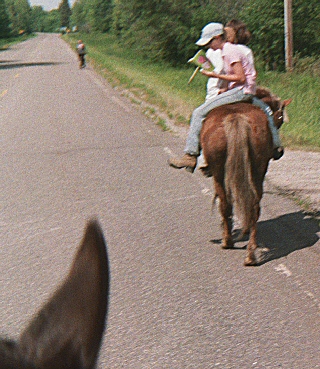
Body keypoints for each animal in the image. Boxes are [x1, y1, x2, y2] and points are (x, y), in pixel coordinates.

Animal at [201, 90, 292, 268]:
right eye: (279, 119)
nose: (279, 151)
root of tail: (237, 118)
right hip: (257, 170)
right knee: (253, 207)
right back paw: (250, 255)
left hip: (219, 174)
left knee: (225, 205)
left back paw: (228, 241)